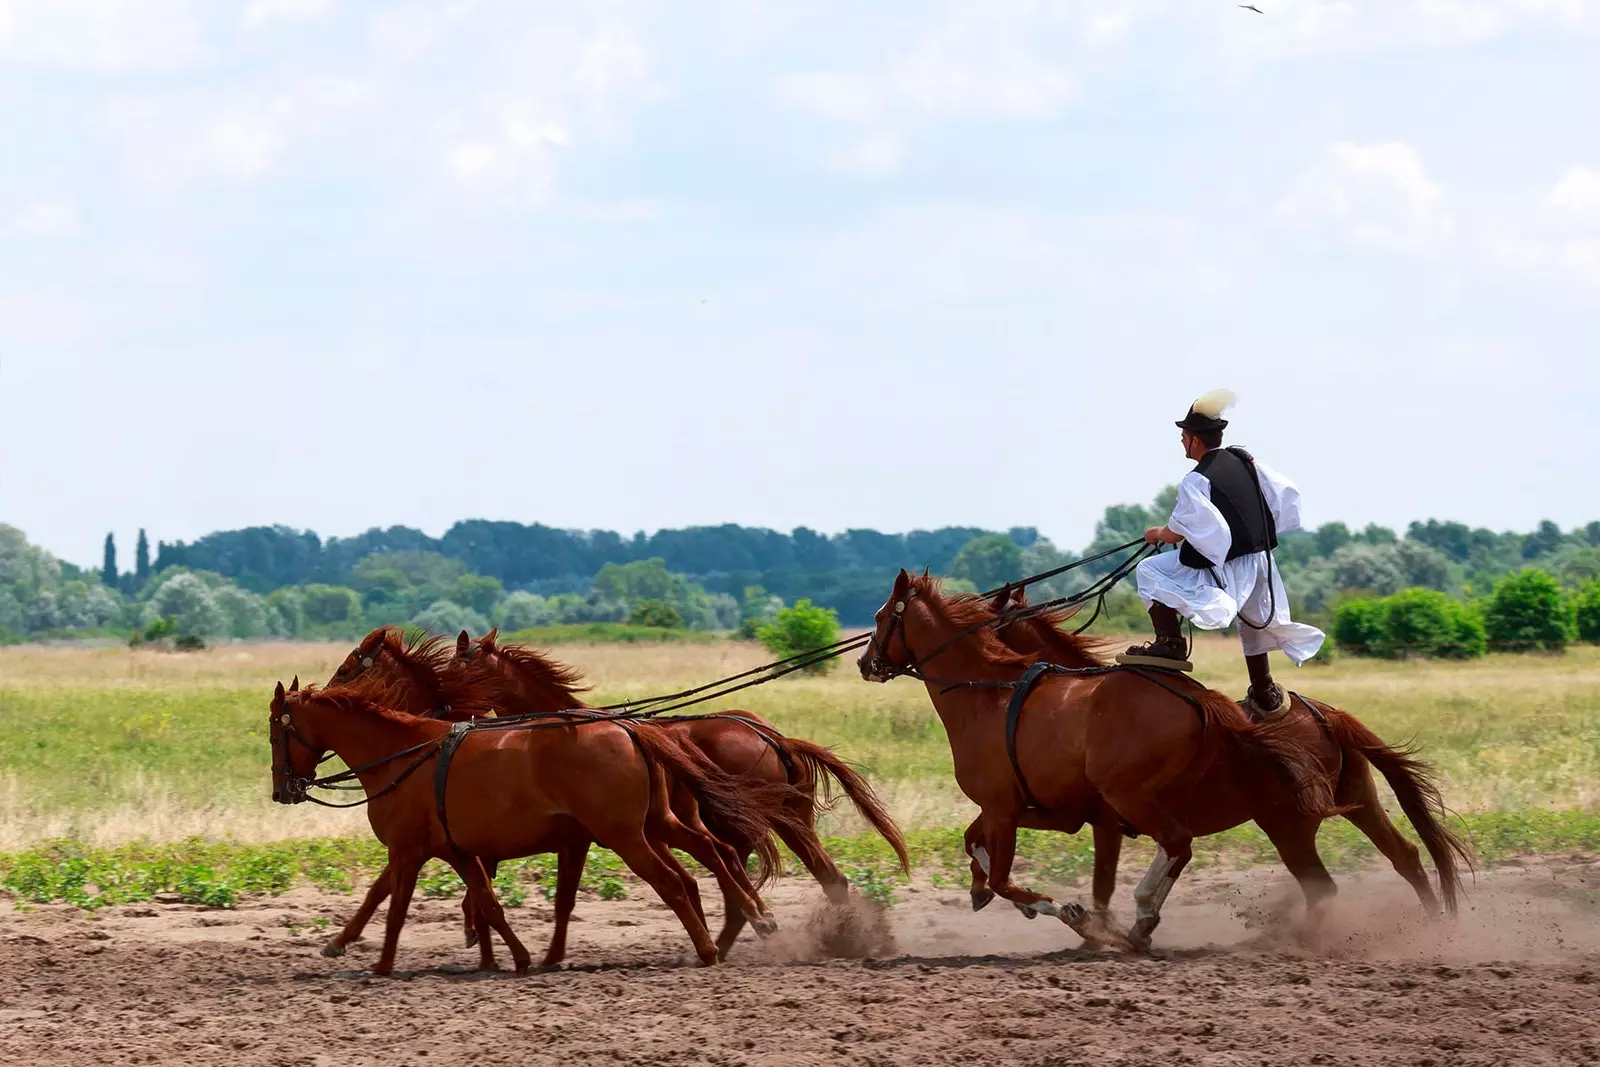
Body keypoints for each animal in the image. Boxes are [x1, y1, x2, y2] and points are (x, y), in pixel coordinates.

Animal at [275, 675, 787, 979]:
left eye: (276, 728)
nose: (283, 789)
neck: (403, 755)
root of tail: (631, 729)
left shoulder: (408, 849)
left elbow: (392, 904)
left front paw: (376, 961)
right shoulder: (458, 851)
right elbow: (486, 903)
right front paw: (515, 957)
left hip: (625, 835)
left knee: (675, 883)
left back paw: (709, 948)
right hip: (657, 823)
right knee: (713, 854)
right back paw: (748, 919)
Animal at [857, 572, 1344, 947]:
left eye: (880, 617)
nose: (865, 662)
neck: (988, 695)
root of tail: (1197, 699)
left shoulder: (1013, 810)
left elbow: (1010, 875)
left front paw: (1067, 913)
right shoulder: (1042, 811)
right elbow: (974, 844)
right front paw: (986, 889)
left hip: (1146, 798)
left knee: (1181, 843)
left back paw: (1143, 919)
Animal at [966, 585, 1465, 927]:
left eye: (994, 621)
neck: (1083, 702)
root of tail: (1325, 714)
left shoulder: (1102, 818)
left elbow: (1109, 880)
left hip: (1289, 826)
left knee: (1324, 885)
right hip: (1359, 800)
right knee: (1405, 856)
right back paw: (1433, 924)